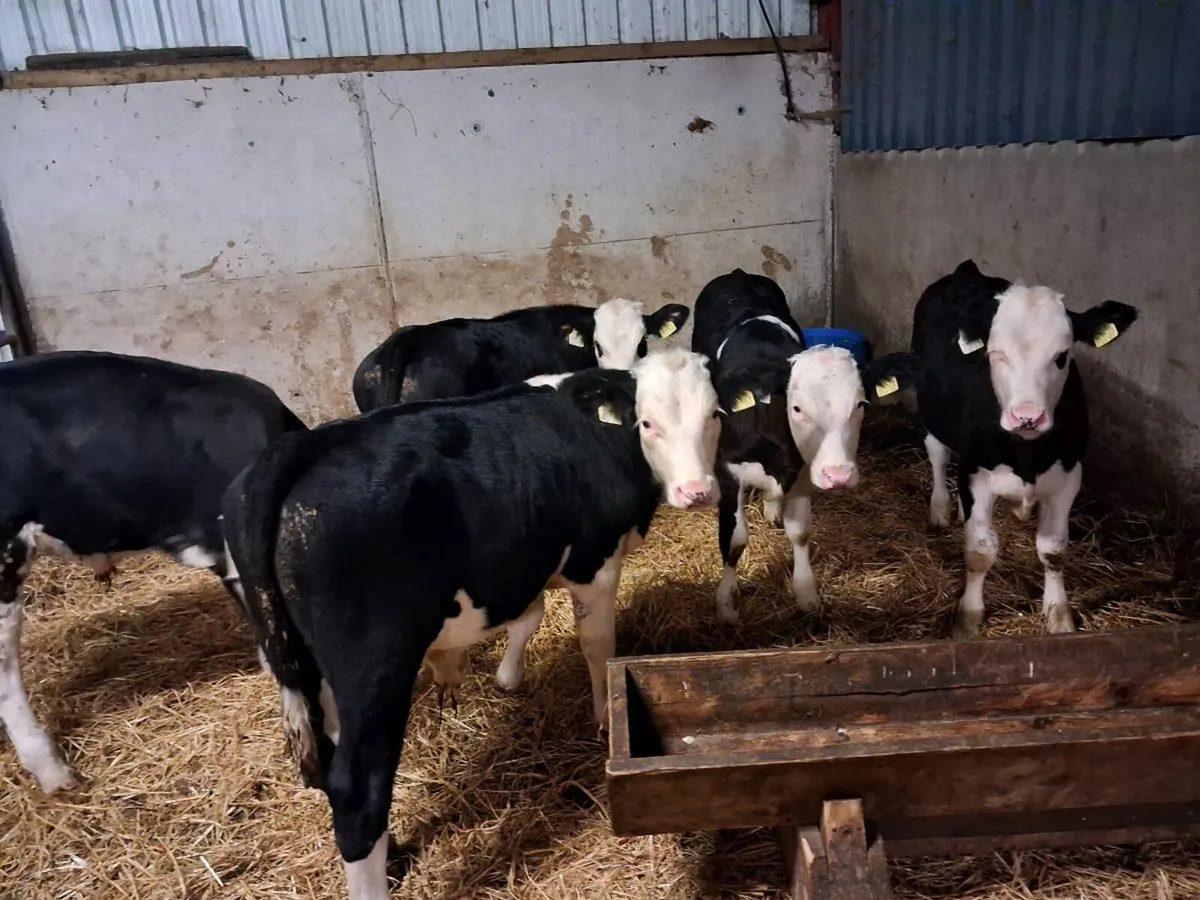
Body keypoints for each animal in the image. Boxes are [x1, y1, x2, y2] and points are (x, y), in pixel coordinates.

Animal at [220, 347, 720, 900]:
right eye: (647, 423)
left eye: (714, 415)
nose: (697, 491)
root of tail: (301, 449)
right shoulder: (595, 563)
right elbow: (597, 644)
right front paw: (606, 718)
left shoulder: (519, 561)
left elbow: (529, 616)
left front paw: (507, 676)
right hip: (376, 667)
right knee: (357, 791)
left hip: (310, 663)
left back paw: (393, 852)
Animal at [691, 269, 920, 624]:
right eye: (796, 408)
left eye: (860, 404)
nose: (838, 475)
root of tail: (738, 274)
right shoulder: (727, 469)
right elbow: (734, 537)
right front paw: (727, 604)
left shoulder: (801, 471)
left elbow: (799, 530)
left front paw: (805, 593)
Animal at [910, 259, 1138, 637]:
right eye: (996, 354)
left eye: (1062, 356)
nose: (1027, 416)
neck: (1027, 454)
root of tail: (967, 271)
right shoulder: (976, 474)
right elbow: (980, 551)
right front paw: (968, 617)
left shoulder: (1068, 474)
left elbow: (1054, 550)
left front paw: (1059, 616)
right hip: (931, 409)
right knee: (937, 452)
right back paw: (941, 509)